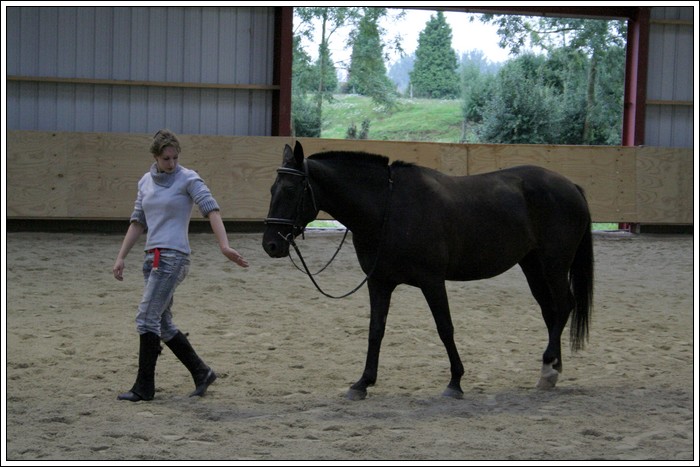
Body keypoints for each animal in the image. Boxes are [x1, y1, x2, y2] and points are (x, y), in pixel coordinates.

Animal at [262, 144, 592, 402]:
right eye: (272, 189)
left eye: (290, 190)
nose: (271, 244)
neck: (388, 207)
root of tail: (570, 186)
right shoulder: (379, 282)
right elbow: (375, 330)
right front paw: (363, 383)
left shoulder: (432, 281)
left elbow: (445, 328)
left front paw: (455, 382)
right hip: (532, 266)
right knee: (551, 312)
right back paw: (552, 370)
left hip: (554, 265)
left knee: (564, 306)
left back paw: (549, 367)